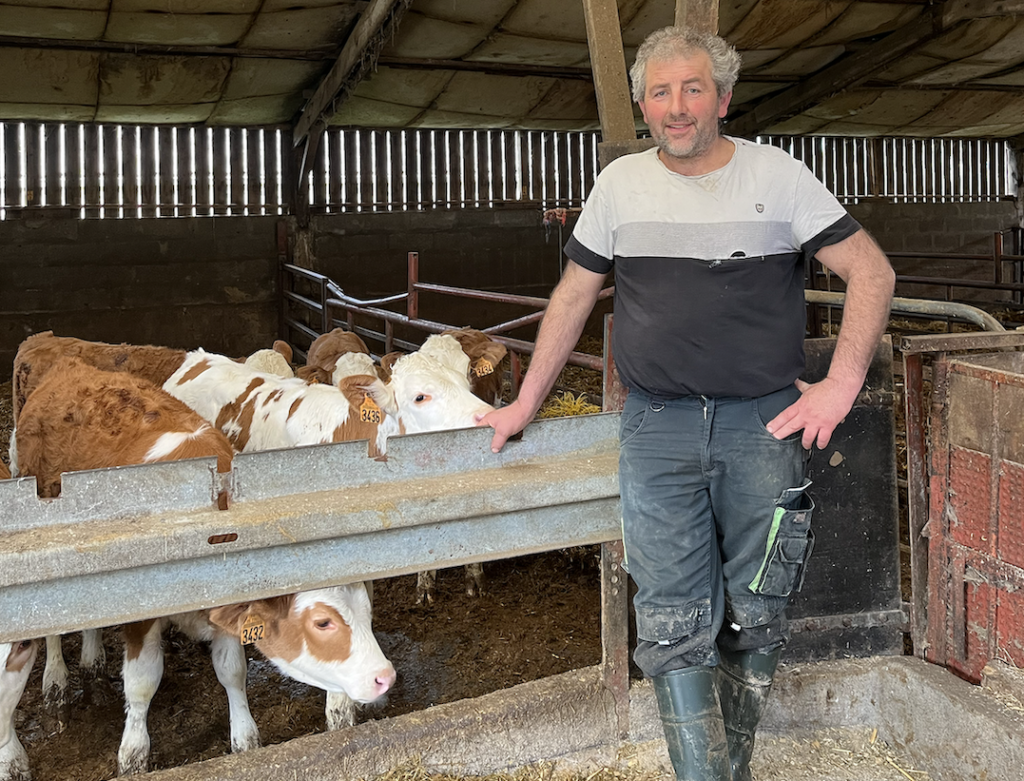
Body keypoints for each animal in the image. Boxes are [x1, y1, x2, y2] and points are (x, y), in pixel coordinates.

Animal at [12, 362, 395, 777]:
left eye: (367, 610)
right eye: (323, 622)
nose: (384, 676)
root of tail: (72, 369)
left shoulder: (228, 604)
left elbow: (233, 670)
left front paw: (245, 738)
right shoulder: (142, 606)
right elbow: (142, 680)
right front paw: (133, 753)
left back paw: (92, 657)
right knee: (54, 625)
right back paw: (56, 679)